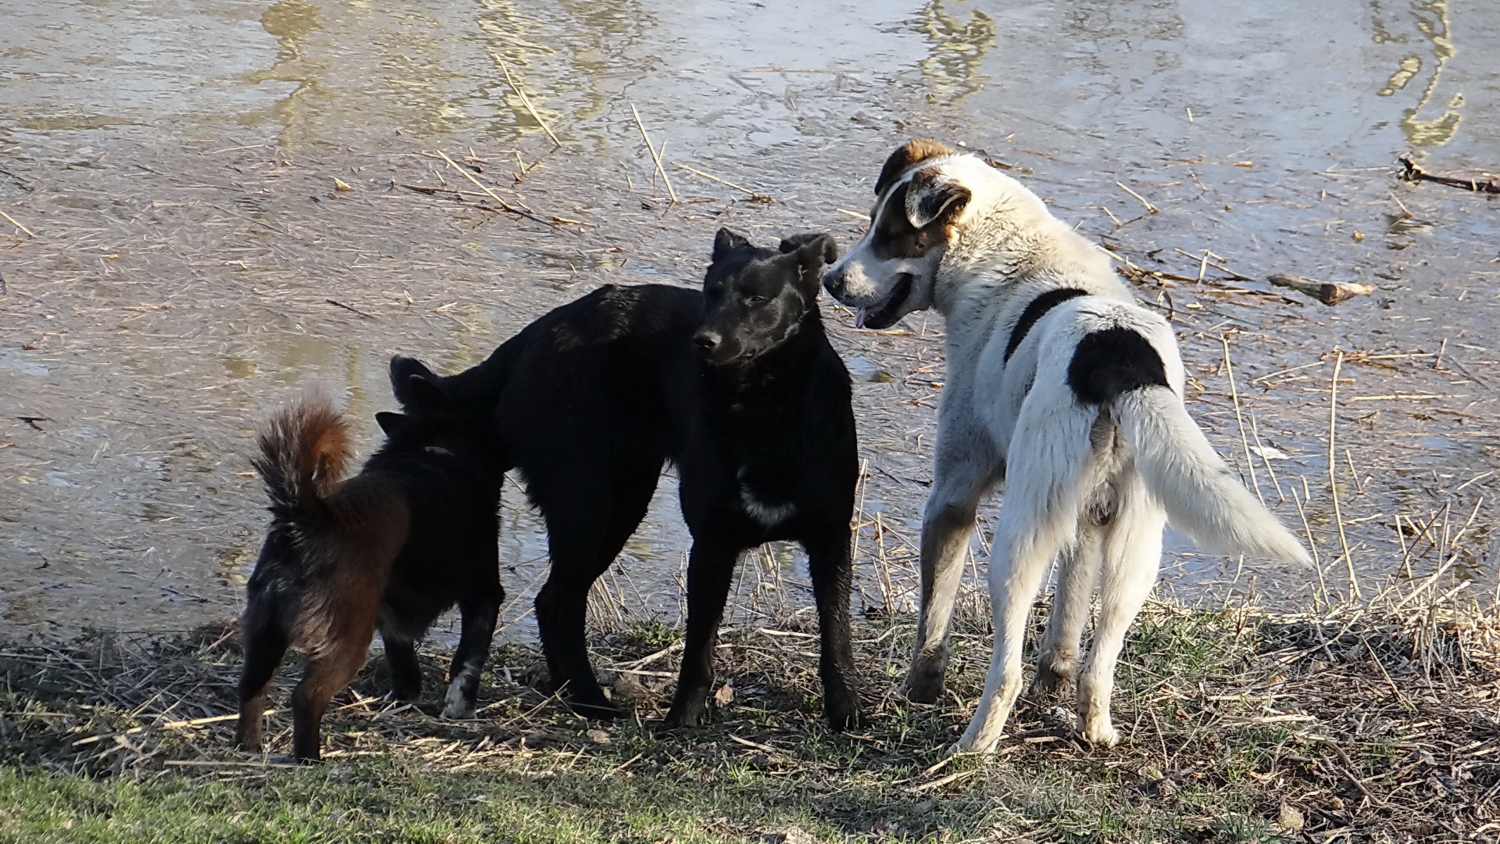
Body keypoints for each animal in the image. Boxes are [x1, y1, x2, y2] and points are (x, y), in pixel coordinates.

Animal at [237, 379, 507, 761]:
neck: (436, 446)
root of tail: (308, 519)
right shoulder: (484, 594)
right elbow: (468, 660)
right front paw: (459, 708)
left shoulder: (391, 613)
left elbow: (402, 660)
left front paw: (405, 697)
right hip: (347, 641)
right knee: (306, 697)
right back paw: (310, 759)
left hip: (266, 633)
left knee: (252, 688)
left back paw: (248, 746)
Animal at [393, 227, 864, 728]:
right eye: (710, 292)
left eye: (757, 298)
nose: (703, 341)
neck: (762, 407)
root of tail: (540, 331)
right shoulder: (711, 546)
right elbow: (698, 650)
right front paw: (682, 722)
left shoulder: (830, 540)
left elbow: (836, 641)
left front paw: (847, 716)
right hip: (587, 502)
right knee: (561, 603)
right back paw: (589, 699)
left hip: (621, 503)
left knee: (552, 601)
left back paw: (569, 691)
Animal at [828, 138, 1308, 752]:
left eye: (889, 234)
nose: (830, 280)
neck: (1003, 251)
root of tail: (1120, 358)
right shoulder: (1088, 523)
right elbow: (1068, 620)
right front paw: (1053, 682)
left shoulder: (953, 496)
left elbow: (933, 620)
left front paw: (920, 689)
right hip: (1135, 547)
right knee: (1100, 663)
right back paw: (1096, 731)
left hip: (1021, 538)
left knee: (1004, 669)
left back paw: (973, 746)